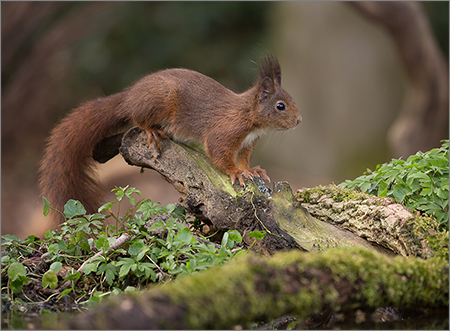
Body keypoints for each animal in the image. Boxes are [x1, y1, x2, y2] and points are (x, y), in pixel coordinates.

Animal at [38, 55, 300, 220]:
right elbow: (218, 152)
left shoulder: (247, 143)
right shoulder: (226, 130)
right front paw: (235, 172)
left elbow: (244, 159)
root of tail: (129, 97)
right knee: (138, 119)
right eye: (280, 106)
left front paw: (252, 170)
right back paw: (152, 130)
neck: (250, 116)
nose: (298, 121)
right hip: (161, 99)